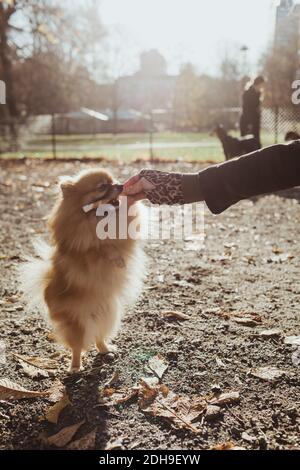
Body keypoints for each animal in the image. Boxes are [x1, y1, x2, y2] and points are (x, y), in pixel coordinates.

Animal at [19, 169, 145, 370]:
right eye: (102, 186)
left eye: (113, 181)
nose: (120, 186)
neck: (97, 219)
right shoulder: (84, 255)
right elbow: (99, 249)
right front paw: (116, 258)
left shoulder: (125, 234)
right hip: (77, 324)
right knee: (77, 347)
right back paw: (75, 367)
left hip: (107, 316)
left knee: (99, 337)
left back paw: (106, 350)